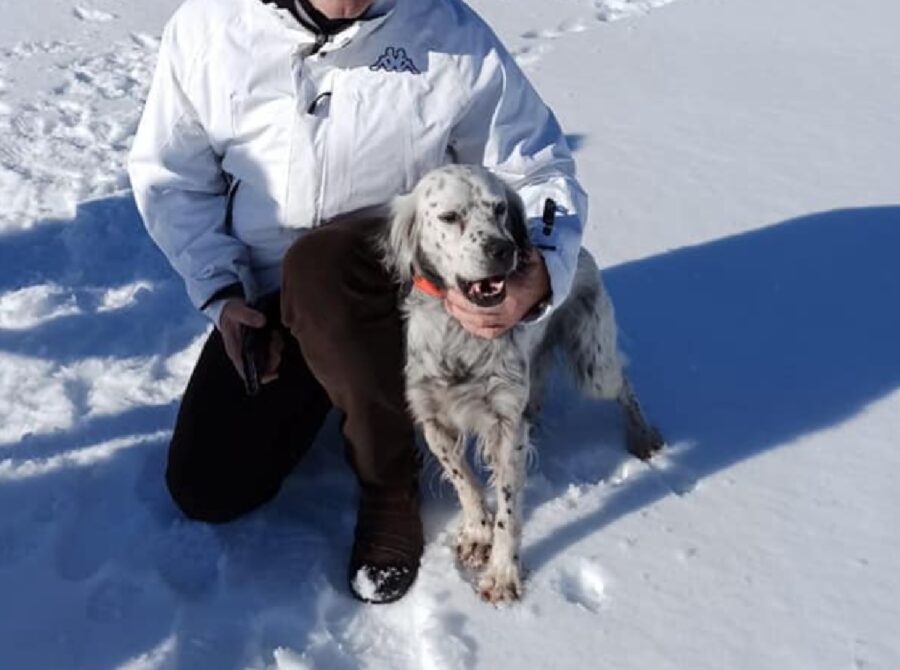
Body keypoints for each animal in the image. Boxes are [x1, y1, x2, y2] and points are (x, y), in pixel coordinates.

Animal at [380, 165, 660, 608]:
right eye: (449, 217)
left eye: (498, 209)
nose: (502, 248)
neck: (461, 335)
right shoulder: (433, 418)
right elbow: (464, 480)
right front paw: (477, 532)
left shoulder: (503, 425)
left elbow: (508, 511)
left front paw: (501, 575)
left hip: (594, 366)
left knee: (624, 385)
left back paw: (643, 436)